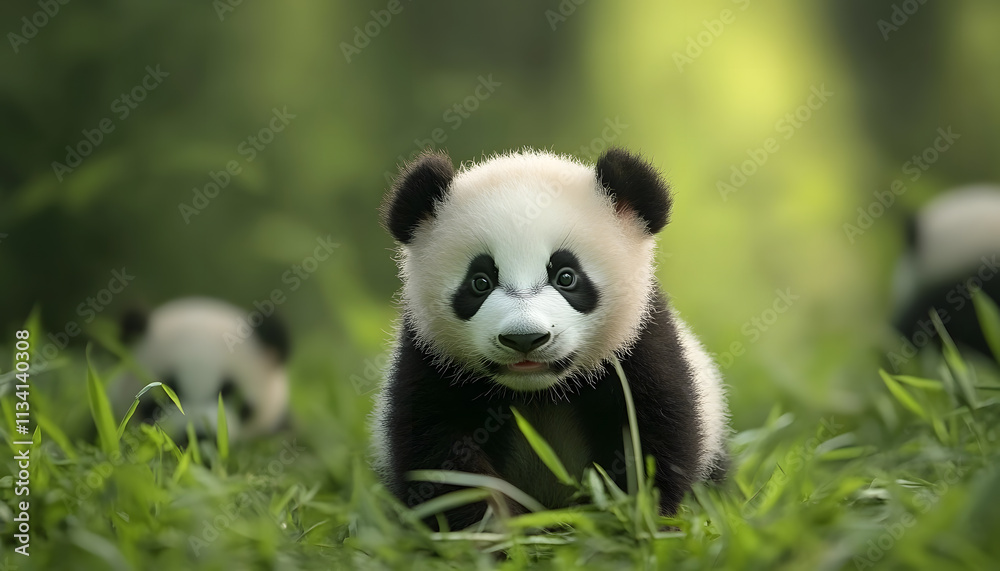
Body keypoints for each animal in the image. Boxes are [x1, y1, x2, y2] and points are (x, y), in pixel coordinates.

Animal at [371, 147, 729, 529]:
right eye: (480, 282)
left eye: (566, 276)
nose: (525, 338)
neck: (539, 393)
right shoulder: (432, 360)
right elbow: (442, 460)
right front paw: (492, 531)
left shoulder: (639, 346)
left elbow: (650, 440)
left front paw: (625, 520)